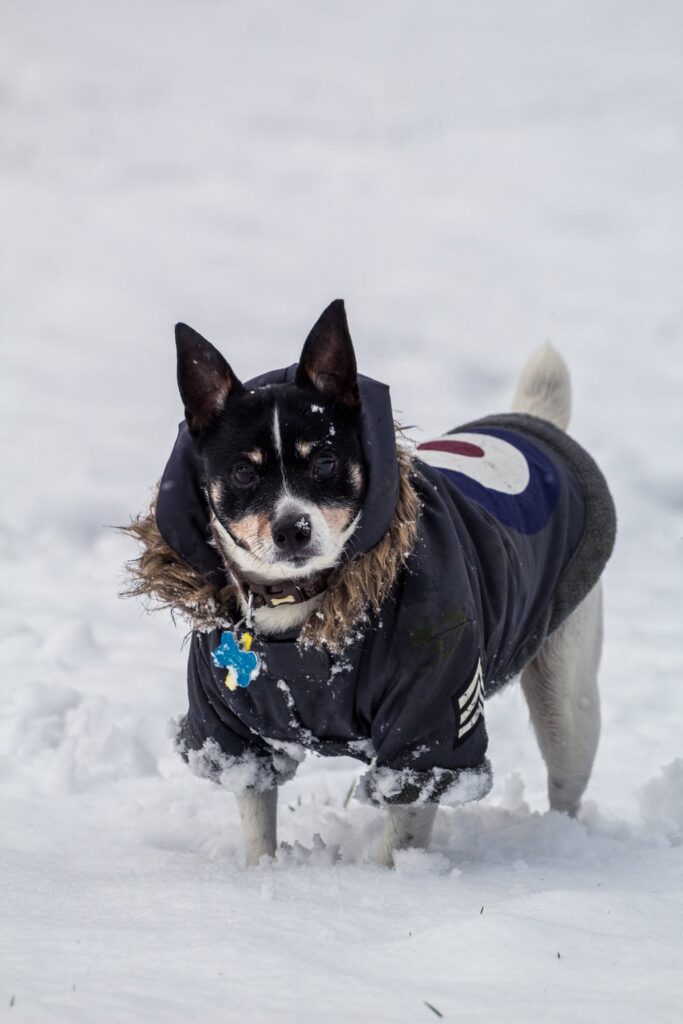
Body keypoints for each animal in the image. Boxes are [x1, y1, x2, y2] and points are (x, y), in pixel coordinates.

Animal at [125, 301, 618, 864]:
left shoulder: (430, 724)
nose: (292, 528)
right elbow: (257, 820)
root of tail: (534, 423)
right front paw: (262, 873)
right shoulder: (231, 733)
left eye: (325, 460)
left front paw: (388, 880)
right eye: (244, 473)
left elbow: (403, 828)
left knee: (566, 775)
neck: (304, 613)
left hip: (567, 694)